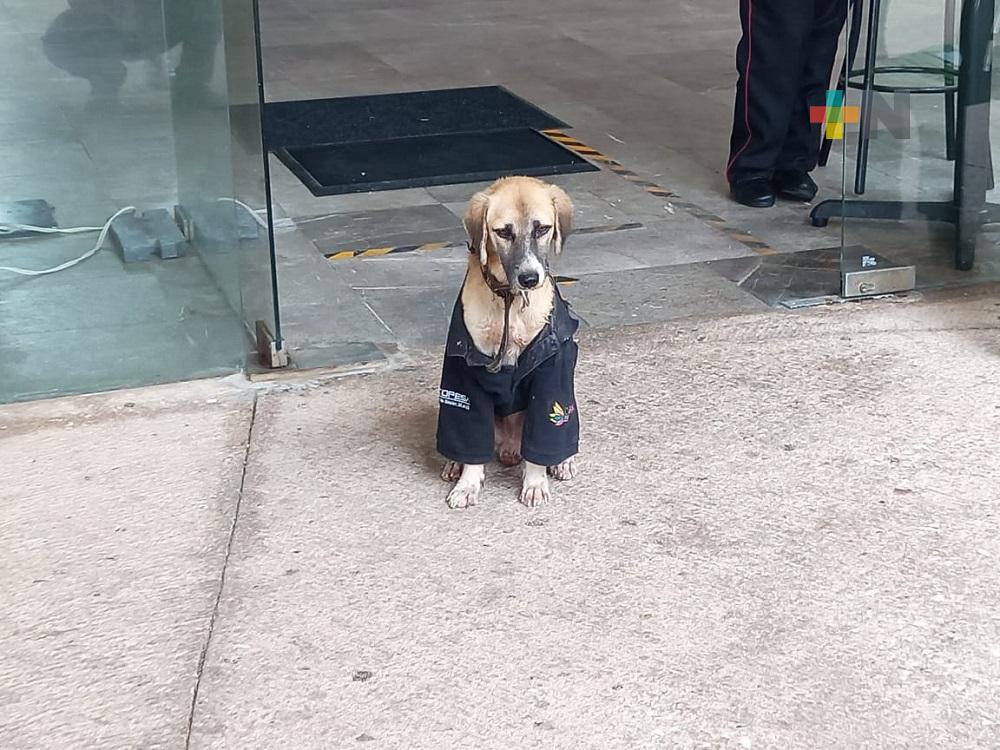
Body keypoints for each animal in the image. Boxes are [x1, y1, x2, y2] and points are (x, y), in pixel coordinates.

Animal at [434, 176, 584, 508]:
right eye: (503, 232)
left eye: (542, 229)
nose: (530, 278)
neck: (510, 302)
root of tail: (509, 448)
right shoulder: (465, 375)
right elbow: (471, 441)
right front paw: (467, 484)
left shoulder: (549, 374)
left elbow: (542, 440)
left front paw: (535, 483)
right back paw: (454, 463)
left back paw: (562, 461)